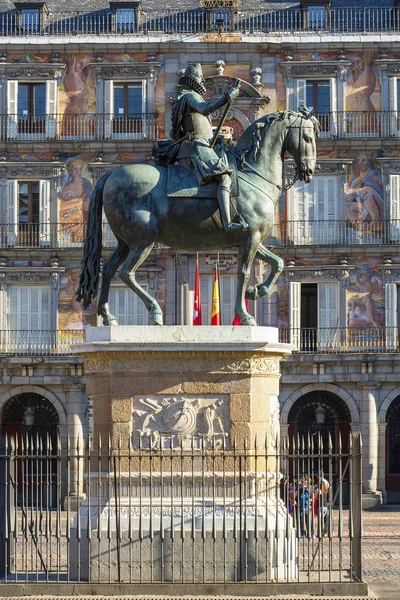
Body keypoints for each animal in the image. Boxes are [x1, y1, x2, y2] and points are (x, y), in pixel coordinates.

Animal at [76, 112, 318, 328]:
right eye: (307, 138)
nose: (309, 171)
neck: (253, 175)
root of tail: (110, 175)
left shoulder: (251, 239)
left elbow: (278, 263)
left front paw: (256, 291)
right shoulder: (251, 236)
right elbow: (243, 272)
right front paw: (246, 315)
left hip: (125, 241)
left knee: (108, 269)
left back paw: (108, 317)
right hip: (143, 240)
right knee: (126, 273)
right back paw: (155, 312)